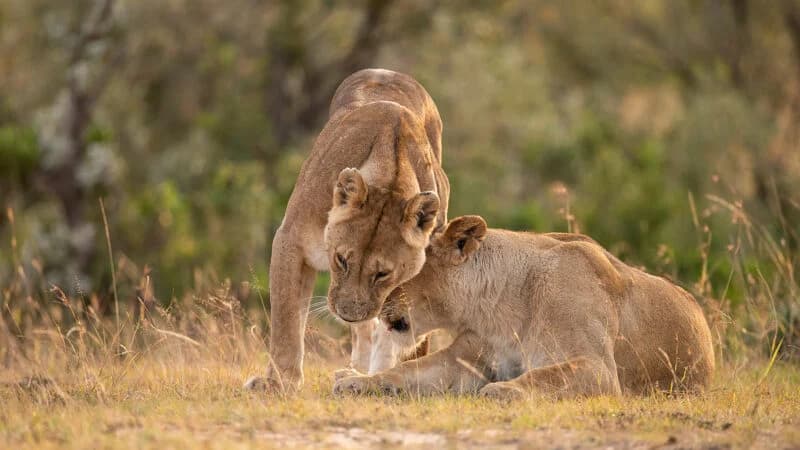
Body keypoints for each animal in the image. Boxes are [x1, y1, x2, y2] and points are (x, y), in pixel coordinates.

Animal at [244, 69, 449, 392]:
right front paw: (278, 383)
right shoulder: (290, 241)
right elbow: (287, 320)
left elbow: (396, 330)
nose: (347, 316)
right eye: (341, 260)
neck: (391, 175)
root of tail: (389, 71)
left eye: (383, 274)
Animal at [333, 215, 715, 399]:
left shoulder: (599, 369)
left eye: (390, 270)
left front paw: (502, 390)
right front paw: (356, 382)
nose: (367, 309)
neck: (497, 311)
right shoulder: (465, 358)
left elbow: (546, 375)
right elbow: (405, 370)